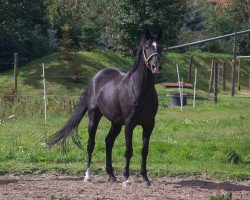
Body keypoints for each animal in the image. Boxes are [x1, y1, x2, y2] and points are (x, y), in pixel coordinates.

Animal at [47, 28, 163, 187]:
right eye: (147, 48)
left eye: (161, 47)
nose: (156, 67)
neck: (140, 90)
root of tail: (95, 78)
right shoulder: (130, 124)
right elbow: (129, 150)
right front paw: (126, 179)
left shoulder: (149, 124)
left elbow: (144, 150)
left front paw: (145, 179)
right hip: (94, 117)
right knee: (91, 143)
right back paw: (87, 176)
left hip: (116, 123)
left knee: (108, 142)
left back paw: (111, 175)